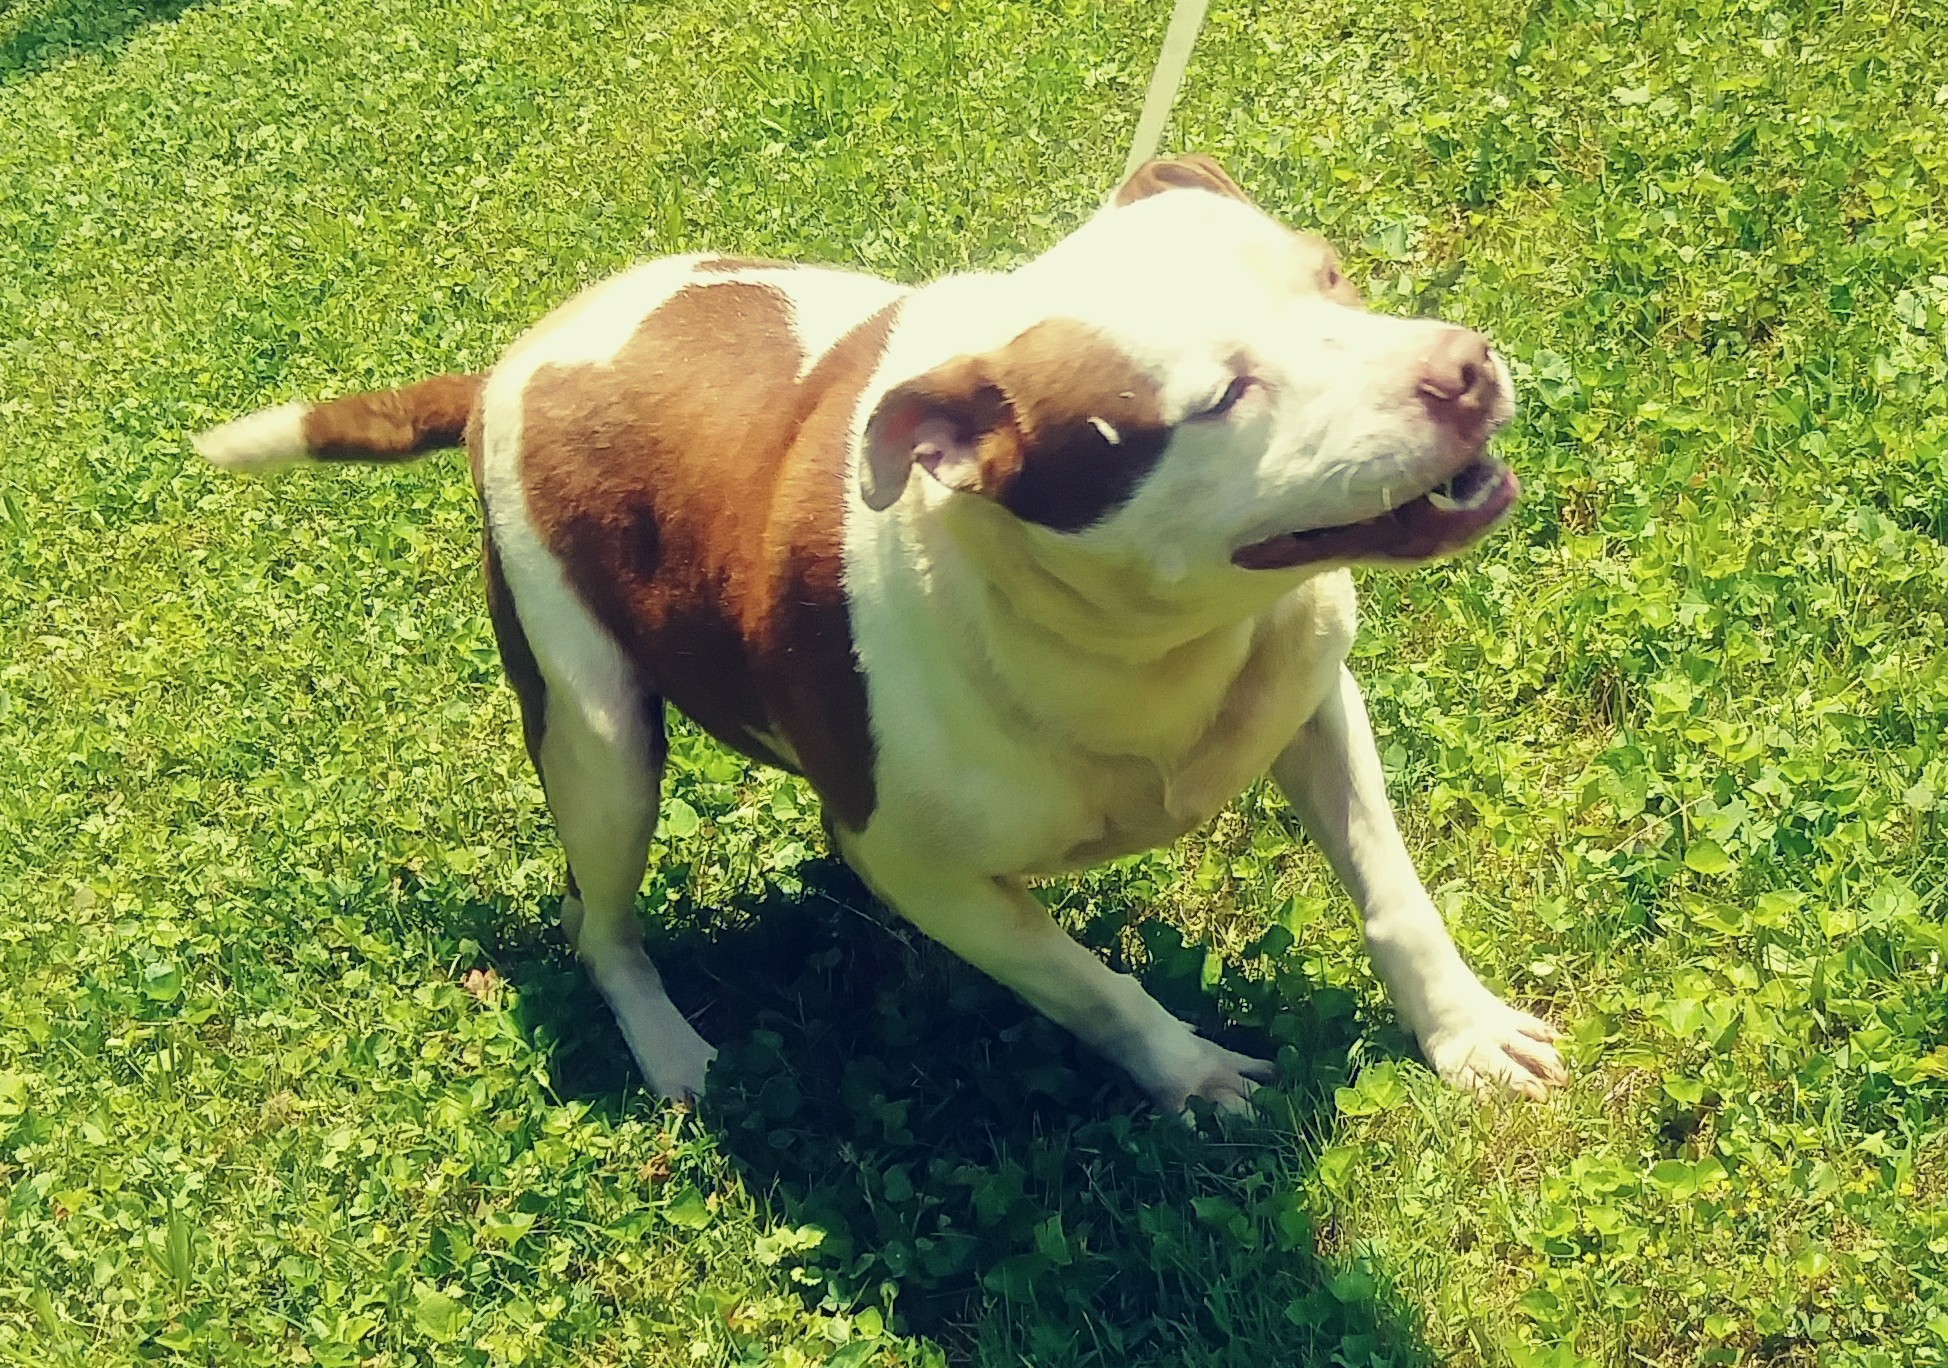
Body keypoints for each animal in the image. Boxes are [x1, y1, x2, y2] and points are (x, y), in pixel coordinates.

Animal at [193, 155, 1566, 1106]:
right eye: (1225, 396)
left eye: (1329, 275)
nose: (1462, 368)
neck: (1135, 639)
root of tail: (503, 371)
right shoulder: (914, 869)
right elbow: (1088, 986)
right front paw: (1187, 1073)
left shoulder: (1311, 700)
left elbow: (1394, 892)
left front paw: (1464, 1032)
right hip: (598, 740)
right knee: (598, 922)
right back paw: (671, 1050)